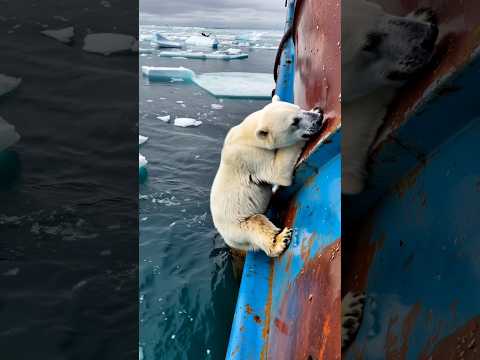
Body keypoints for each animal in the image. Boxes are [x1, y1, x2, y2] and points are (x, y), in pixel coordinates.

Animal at [210, 97, 322, 258]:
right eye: (294, 122)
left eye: (299, 108)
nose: (318, 119)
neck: (246, 134)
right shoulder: (252, 156)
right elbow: (277, 172)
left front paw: (315, 109)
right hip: (238, 226)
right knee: (257, 224)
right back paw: (280, 241)